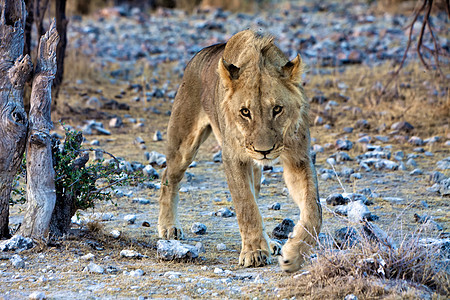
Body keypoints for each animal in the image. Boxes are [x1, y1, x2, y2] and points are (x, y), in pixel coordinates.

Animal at [156, 29, 322, 272]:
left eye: (277, 109)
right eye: (245, 112)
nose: (264, 151)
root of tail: (205, 50)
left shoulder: (298, 158)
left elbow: (313, 209)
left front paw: (294, 254)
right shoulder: (233, 157)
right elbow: (246, 206)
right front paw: (254, 253)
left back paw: (271, 244)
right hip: (183, 142)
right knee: (168, 176)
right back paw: (169, 227)